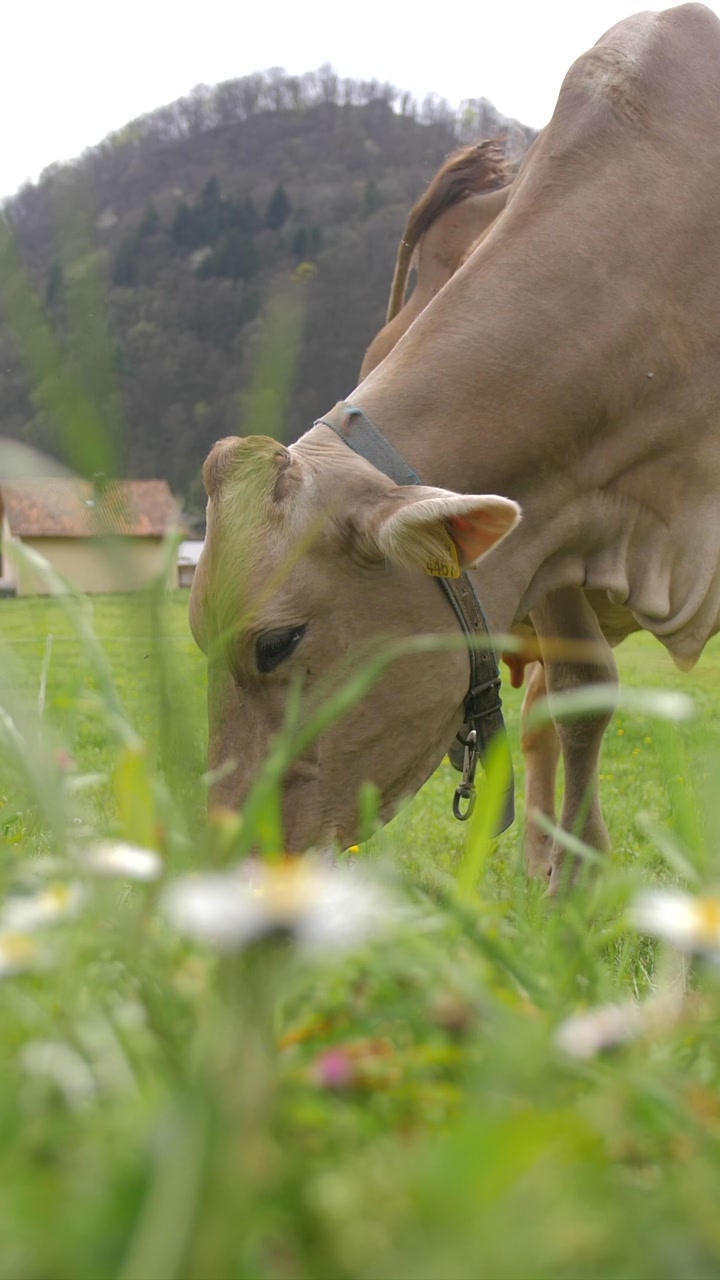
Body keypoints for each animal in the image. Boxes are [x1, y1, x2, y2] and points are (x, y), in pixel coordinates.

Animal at [191, 3, 720, 892]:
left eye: (277, 642)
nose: (233, 858)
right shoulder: (551, 522)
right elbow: (583, 692)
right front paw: (572, 884)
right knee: (543, 715)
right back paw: (546, 862)